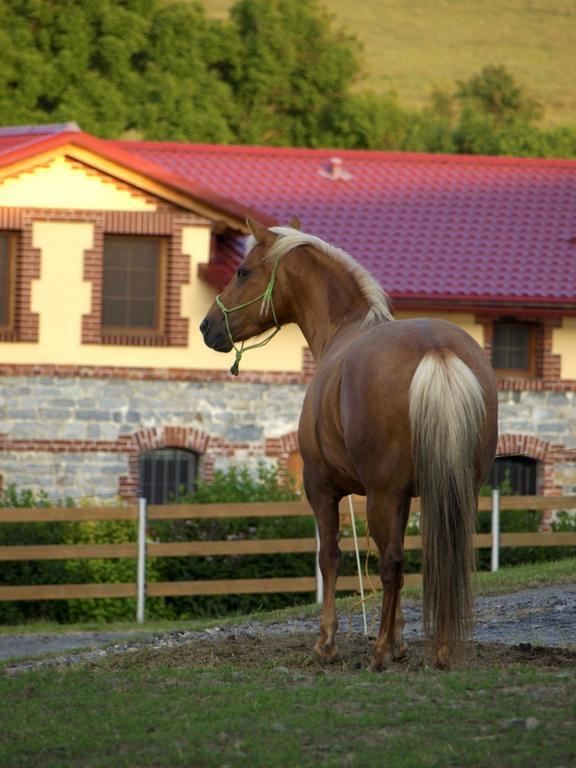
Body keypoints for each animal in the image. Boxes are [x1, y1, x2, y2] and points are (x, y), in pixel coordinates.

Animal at [200, 218, 498, 672]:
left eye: (243, 271)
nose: (207, 327)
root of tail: (436, 351)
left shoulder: (322, 488)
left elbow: (331, 557)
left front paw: (328, 642)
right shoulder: (405, 497)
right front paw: (402, 642)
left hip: (379, 494)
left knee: (391, 563)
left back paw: (379, 653)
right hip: (454, 490)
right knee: (443, 557)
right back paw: (441, 651)